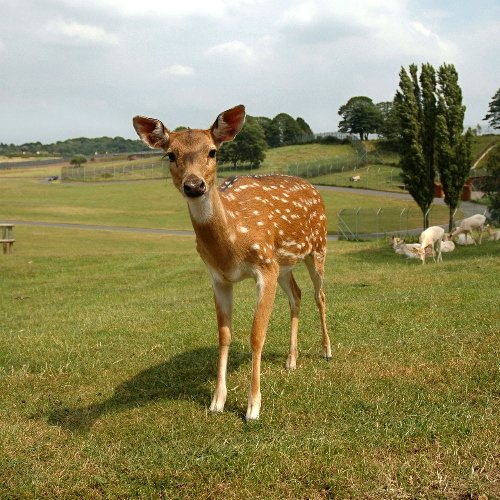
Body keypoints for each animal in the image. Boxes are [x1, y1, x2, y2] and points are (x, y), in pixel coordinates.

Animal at [132, 105, 332, 422]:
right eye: (171, 155)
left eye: (213, 151)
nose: (194, 185)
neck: (232, 245)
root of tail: (313, 186)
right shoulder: (219, 277)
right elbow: (224, 335)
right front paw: (217, 401)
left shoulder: (264, 266)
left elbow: (256, 335)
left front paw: (253, 407)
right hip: (284, 264)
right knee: (297, 295)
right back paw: (291, 359)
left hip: (318, 246)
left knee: (319, 294)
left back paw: (326, 351)